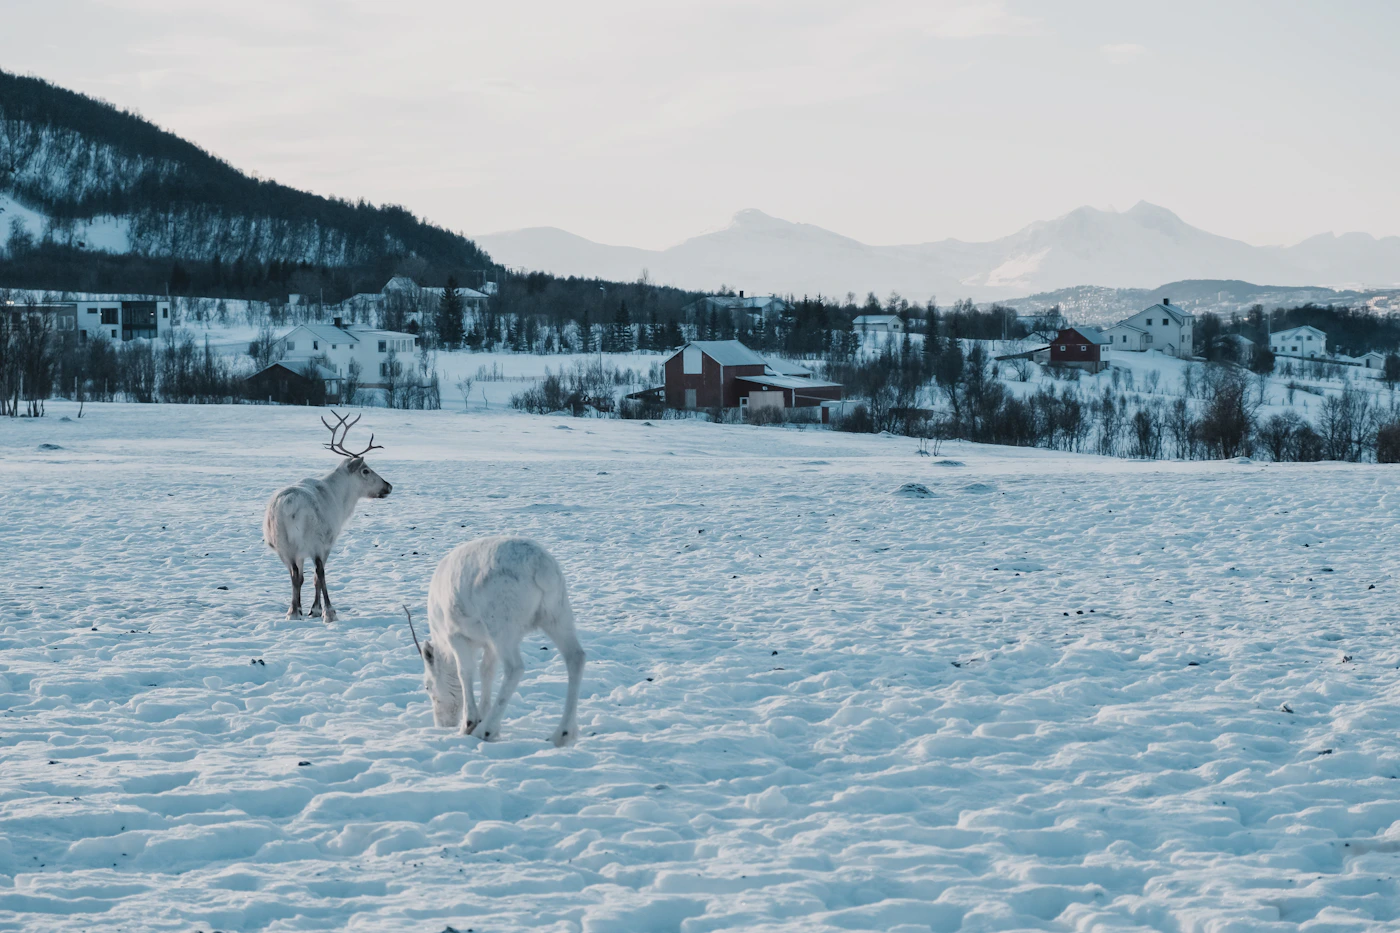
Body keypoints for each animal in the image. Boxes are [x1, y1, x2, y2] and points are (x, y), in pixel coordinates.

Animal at [263, 411, 392, 622]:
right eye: (365, 470)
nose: (388, 486)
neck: (341, 499)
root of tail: (288, 505)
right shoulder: (326, 544)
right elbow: (318, 576)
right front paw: (316, 610)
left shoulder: (297, 552)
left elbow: (301, 577)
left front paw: (301, 608)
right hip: (313, 541)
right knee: (318, 573)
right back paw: (329, 612)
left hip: (282, 546)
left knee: (294, 575)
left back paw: (292, 612)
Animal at [405, 537, 586, 747]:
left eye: (427, 686)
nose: (442, 724)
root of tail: (540, 566)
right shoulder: (488, 644)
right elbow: (487, 672)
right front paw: (483, 716)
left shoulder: (457, 636)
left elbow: (465, 672)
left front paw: (469, 723)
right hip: (557, 614)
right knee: (575, 657)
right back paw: (562, 734)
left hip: (502, 626)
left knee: (515, 667)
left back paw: (486, 730)